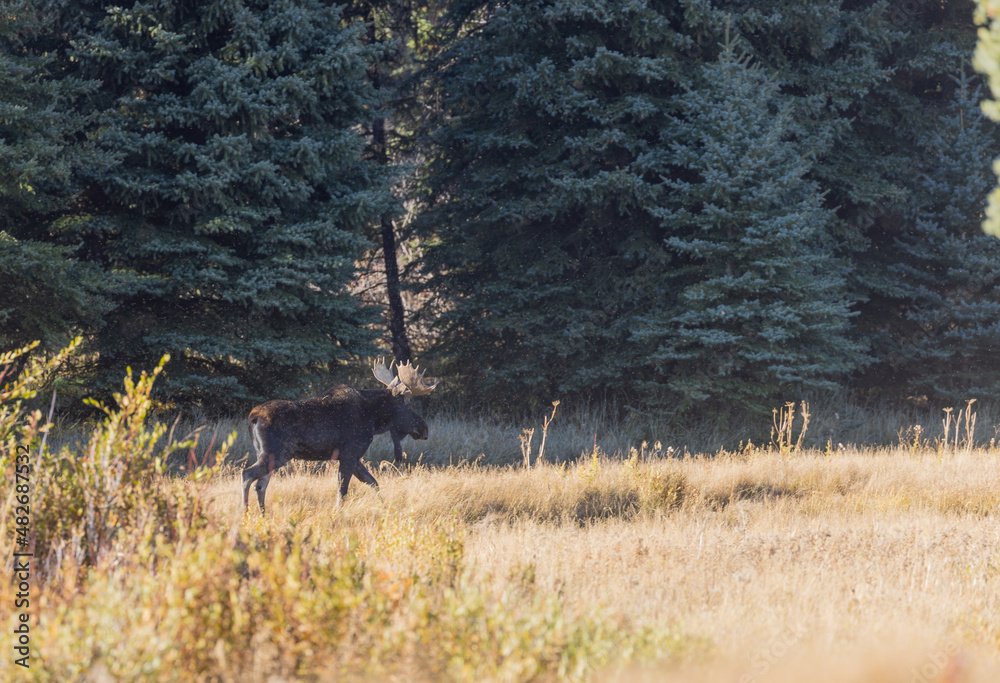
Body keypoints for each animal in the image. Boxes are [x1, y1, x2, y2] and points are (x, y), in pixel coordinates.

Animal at [241, 359, 438, 513]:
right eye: (409, 405)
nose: (424, 429)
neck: (374, 419)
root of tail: (253, 417)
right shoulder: (350, 454)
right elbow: (342, 491)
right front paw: (337, 514)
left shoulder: (353, 456)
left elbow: (373, 482)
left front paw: (385, 508)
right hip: (276, 454)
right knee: (247, 474)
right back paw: (245, 514)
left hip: (267, 455)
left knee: (260, 485)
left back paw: (263, 515)